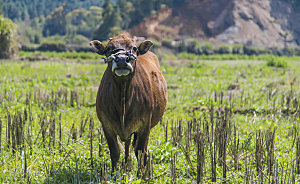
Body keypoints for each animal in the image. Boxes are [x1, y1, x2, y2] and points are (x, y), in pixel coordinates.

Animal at [90, 34, 168, 174]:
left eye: (134, 48)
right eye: (108, 48)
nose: (121, 59)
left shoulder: (144, 125)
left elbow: (140, 152)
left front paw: (141, 175)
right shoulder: (106, 125)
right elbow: (114, 152)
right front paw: (114, 174)